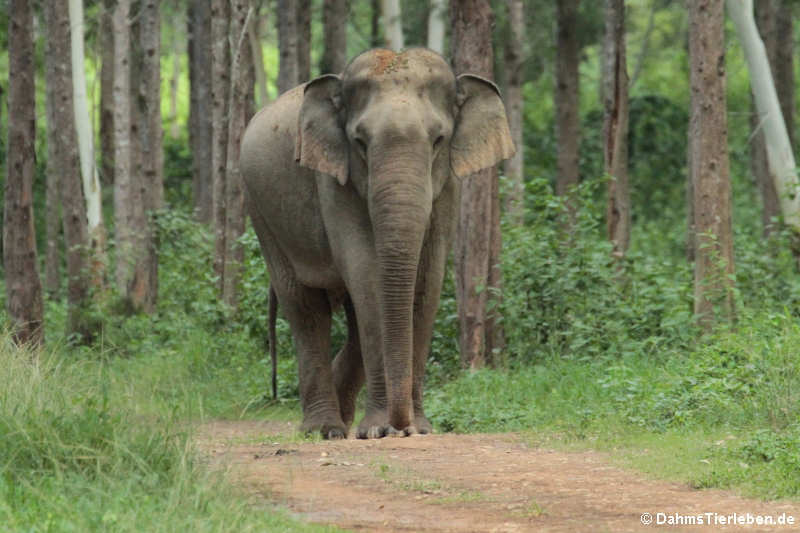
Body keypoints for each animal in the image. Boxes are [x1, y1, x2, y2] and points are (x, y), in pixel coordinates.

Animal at [241, 47, 512, 438]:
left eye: (438, 140)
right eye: (360, 143)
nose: (402, 425)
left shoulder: (448, 188)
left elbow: (427, 280)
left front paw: (419, 429)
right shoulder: (333, 182)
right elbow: (367, 275)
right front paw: (379, 430)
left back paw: (343, 416)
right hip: (261, 214)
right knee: (305, 307)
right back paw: (325, 429)